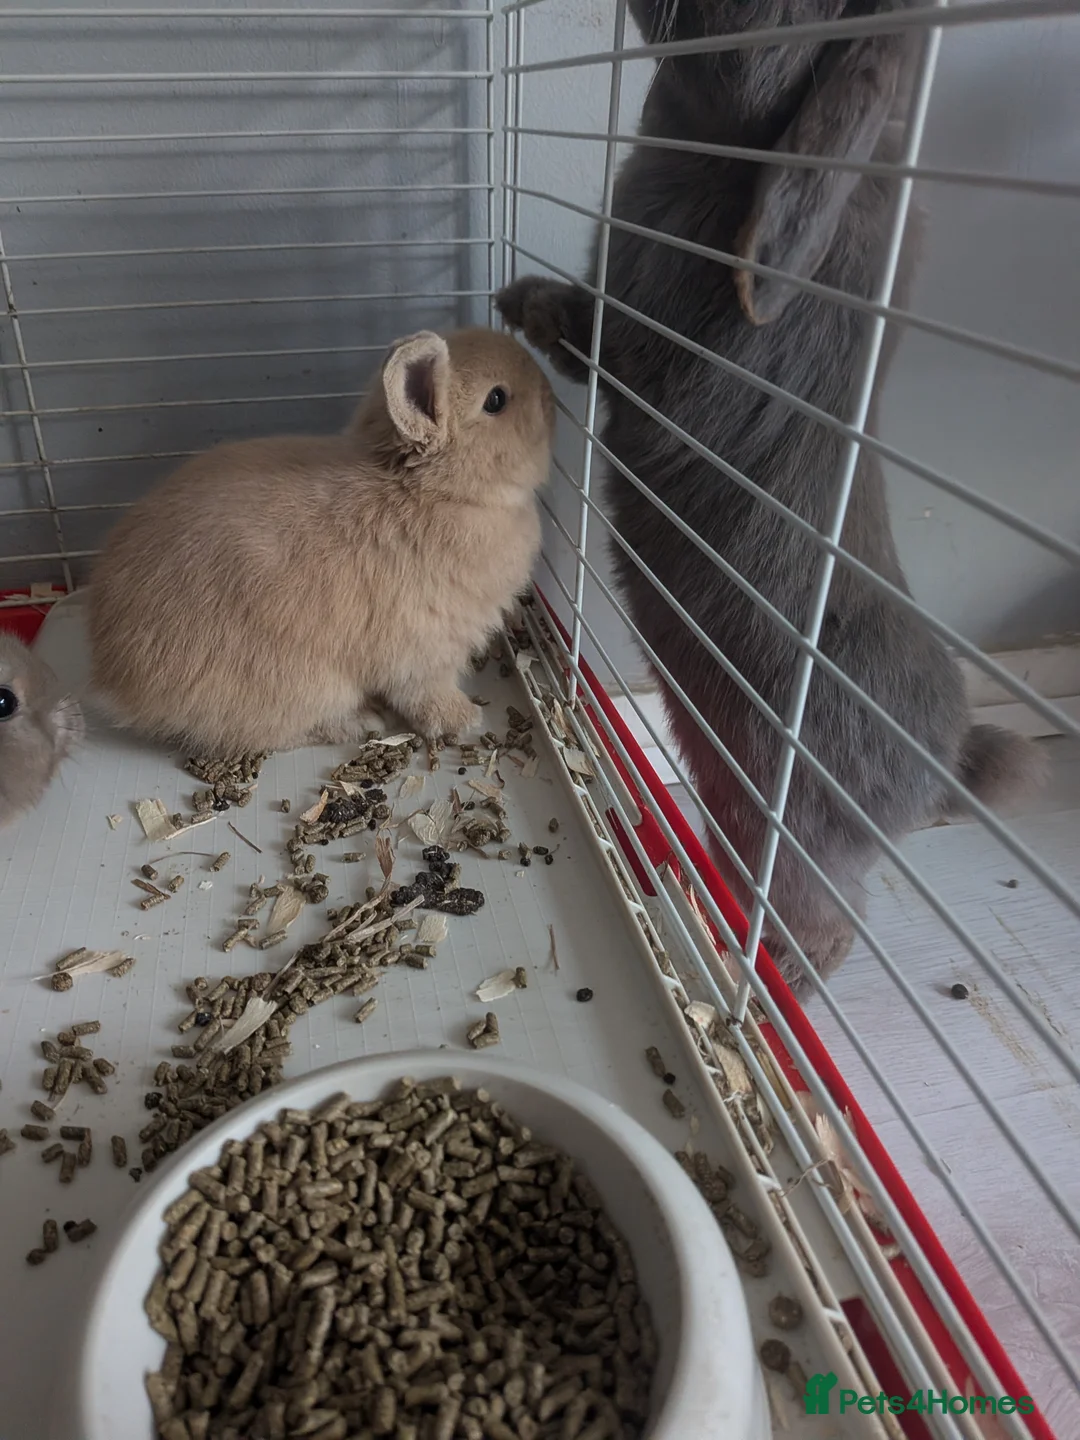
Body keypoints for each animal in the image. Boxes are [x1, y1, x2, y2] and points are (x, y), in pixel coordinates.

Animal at [88, 327, 554, 757]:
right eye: (496, 400)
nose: (550, 393)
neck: (436, 492)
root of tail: (115, 680)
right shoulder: (425, 651)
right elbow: (426, 695)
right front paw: (464, 719)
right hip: (301, 686)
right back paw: (361, 722)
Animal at [497, 0, 1043, 998]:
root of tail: (941, 770)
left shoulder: (655, 342)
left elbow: (604, 342)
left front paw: (526, 308)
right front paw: (512, 294)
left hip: (793, 845)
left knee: (832, 918)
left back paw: (768, 970)